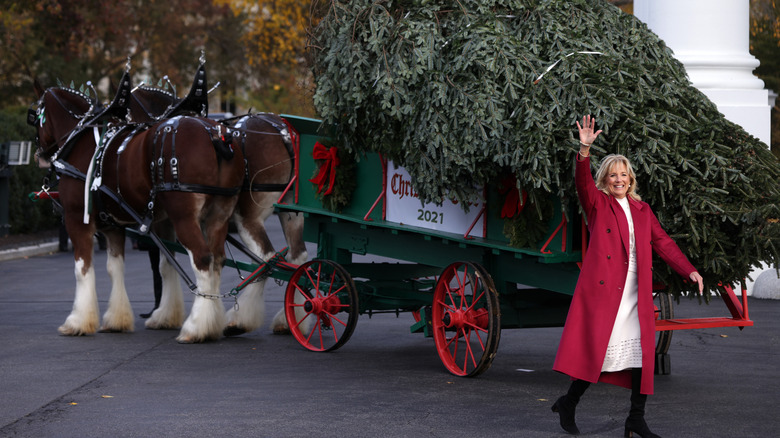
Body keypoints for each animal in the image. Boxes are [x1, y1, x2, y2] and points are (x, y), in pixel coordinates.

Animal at [29, 72, 245, 344]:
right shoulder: (115, 225)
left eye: (34, 116)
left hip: (185, 218)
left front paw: (77, 322)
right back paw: (213, 323)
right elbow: (119, 268)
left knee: (203, 259)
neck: (82, 142)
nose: (40, 155)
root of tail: (216, 134)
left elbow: (82, 268)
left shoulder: (77, 219)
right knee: (217, 260)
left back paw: (196, 327)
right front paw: (119, 320)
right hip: (218, 216)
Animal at [129, 82, 308, 338]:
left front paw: (165, 313)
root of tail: (282, 132)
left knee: (266, 258)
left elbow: (165, 263)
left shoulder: (167, 221)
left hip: (248, 216)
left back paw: (240, 320)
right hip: (291, 214)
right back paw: (290, 320)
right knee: (297, 257)